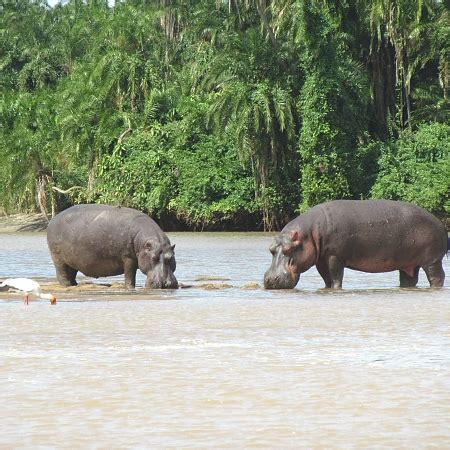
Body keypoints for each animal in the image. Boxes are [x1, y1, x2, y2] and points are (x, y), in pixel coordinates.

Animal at [47, 204, 178, 288]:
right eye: (153, 258)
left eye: (171, 257)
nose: (166, 284)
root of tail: (53, 219)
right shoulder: (128, 258)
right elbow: (130, 275)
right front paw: (130, 288)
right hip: (58, 258)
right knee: (62, 274)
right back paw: (67, 286)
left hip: (72, 260)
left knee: (71, 273)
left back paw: (74, 285)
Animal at [264, 200, 446, 288]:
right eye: (271, 249)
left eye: (288, 250)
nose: (270, 280)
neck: (310, 233)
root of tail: (441, 224)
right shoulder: (320, 259)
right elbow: (326, 279)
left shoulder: (334, 256)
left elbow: (336, 277)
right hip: (408, 264)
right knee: (409, 279)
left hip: (432, 261)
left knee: (437, 277)